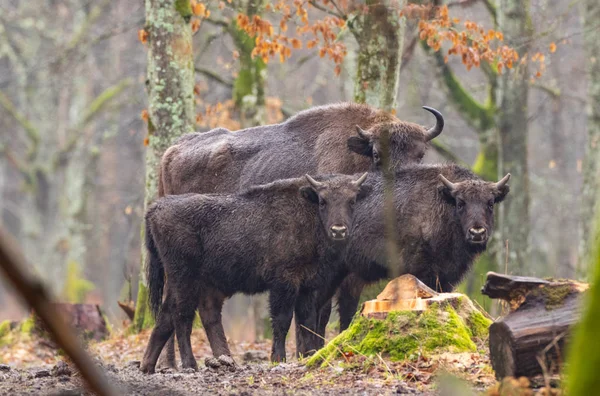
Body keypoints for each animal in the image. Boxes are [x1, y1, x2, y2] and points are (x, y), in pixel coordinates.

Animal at [139, 174, 370, 374]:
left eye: (352, 200)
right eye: (323, 201)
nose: (338, 230)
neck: (307, 212)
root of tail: (155, 209)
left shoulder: (306, 286)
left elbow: (307, 322)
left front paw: (310, 356)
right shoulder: (284, 282)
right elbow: (282, 320)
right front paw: (278, 358)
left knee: (169, 316)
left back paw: (149, 365)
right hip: (184, 279)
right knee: (182, 316)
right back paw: (190, 364)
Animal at [296, 162, 510, 354]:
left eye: (490, 203)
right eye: (461, 202)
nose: (477, 232)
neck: (441, 204)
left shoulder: (447, 277)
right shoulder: (423, 271)